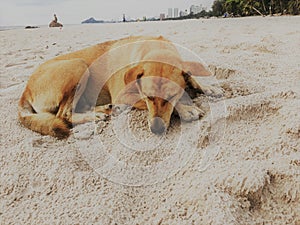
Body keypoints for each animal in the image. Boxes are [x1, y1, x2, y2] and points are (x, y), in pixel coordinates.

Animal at [18, 36, 220, 138]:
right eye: (148, 97)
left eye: (170, 96)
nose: (156, 130)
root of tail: (25, 91)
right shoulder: (124, 96)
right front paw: (186, 109)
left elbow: (192, 78)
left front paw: (209, 88)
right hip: (78, 65)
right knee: (63, 115)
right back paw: (97, 114)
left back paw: (104, 109)